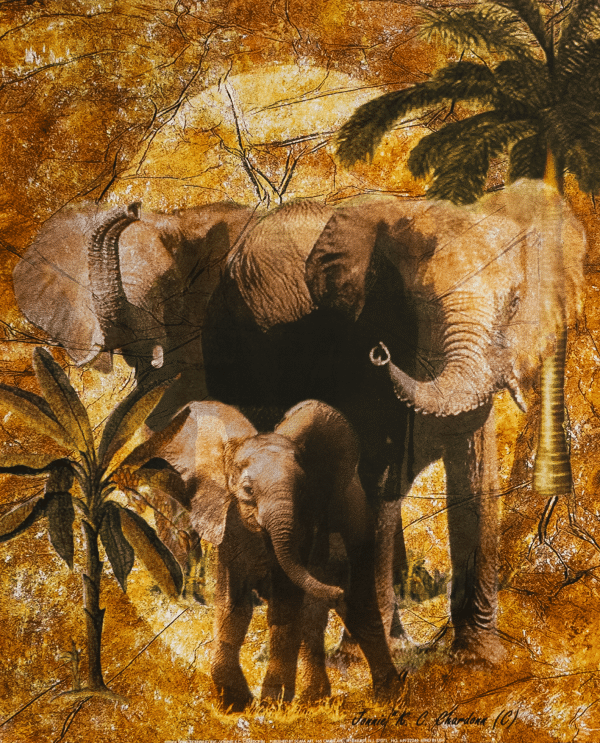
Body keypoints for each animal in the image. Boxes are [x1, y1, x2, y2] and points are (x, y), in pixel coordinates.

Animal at [140, 398, 402, 711]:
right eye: (247, 490)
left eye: (302, 490)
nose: (335, 591)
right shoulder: (232, 529)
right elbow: (232, 605)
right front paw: (236, 704)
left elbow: (285, 608)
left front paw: (272, 705)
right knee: (316, 621)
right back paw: (315, 702)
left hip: (359, 532)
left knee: (358, 609)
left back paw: (388, 699)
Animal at [200, 179, 586, 664]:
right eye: (417, 303)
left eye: (515, 303)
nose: (381, 355)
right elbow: (372, 484)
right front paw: (371, 660)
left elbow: (476, 476)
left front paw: (480, 661)